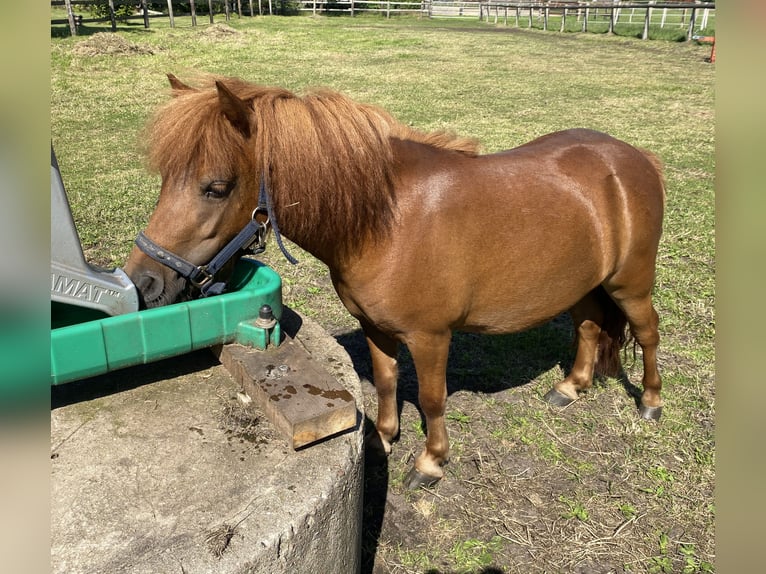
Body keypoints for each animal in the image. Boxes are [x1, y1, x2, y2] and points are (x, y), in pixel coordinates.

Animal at [124, 74, 665, 489]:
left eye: (216, 188)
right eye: (165, 179)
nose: (143, 284)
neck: (387, 222)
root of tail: (634, 158)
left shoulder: (431, 337)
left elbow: (431, 398)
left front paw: (430, 463)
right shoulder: (376, 327)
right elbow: (386, 380)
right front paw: (383, 437)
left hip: (630, 284)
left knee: (647, 331)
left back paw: (651, 402)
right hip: (583, 285)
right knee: (589, 327)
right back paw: (571, 387)